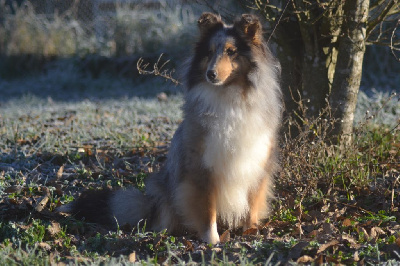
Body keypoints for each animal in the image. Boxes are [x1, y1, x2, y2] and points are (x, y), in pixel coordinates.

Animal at [59, 13, 282, 245]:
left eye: (231, 51)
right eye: (209, 52)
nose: (210, 74)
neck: (229, 96)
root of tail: (150, 204)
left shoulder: (258, 162)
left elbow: (252, 204)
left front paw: (251, 232)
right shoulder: (201, 167)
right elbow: (207, 209)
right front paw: (212, 241)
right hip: (164, 188)